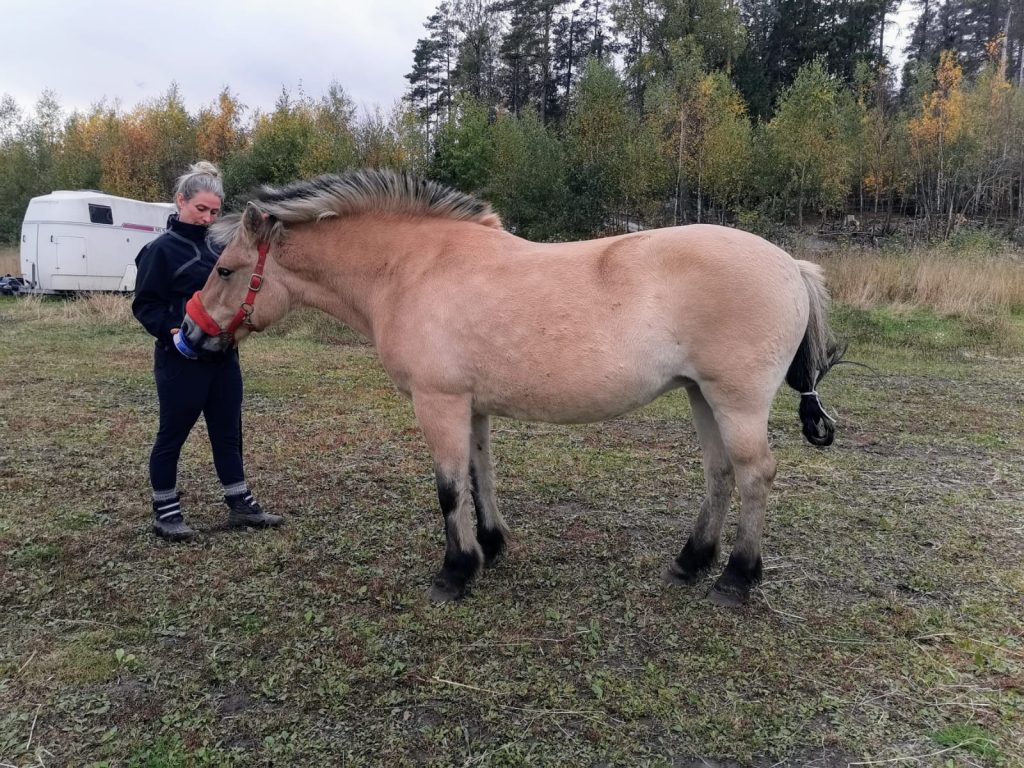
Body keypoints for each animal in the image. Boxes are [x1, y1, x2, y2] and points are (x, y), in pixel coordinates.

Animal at [180, 169, 843, 606]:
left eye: (225, 269)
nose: (190, 332)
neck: (411, 269)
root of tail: (791, 266)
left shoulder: (438, 402)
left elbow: (449, 488)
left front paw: (455, 571)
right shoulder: (471, 407)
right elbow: (481, 475)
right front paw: (492, 546)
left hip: (736, 401)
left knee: (755, 474)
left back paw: (736, 577)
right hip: (700, 394)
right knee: (720, 473)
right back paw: (691, 562)